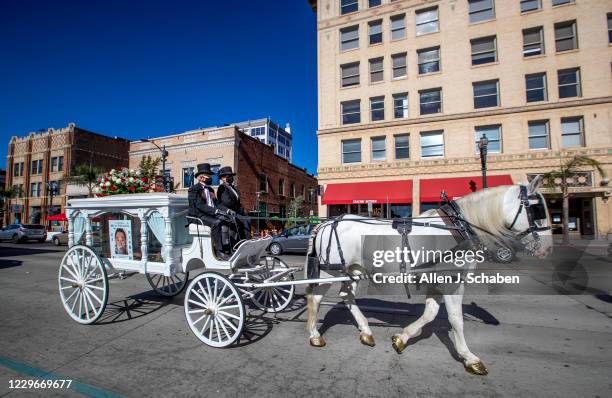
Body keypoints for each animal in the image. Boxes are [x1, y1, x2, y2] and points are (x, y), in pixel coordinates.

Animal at [308, 179, 552, 374]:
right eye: (538, 209)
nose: (548, 248)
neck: (459, 227)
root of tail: (326, 223)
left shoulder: (436, 281)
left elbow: (431, 314)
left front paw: (402, 338)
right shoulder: (452, 281)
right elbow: (456, 319)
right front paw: (469, 357)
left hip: (352, 270)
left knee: (346, 296)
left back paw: (366, 331)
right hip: (329, 270)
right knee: (315, 298)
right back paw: (314, 335)